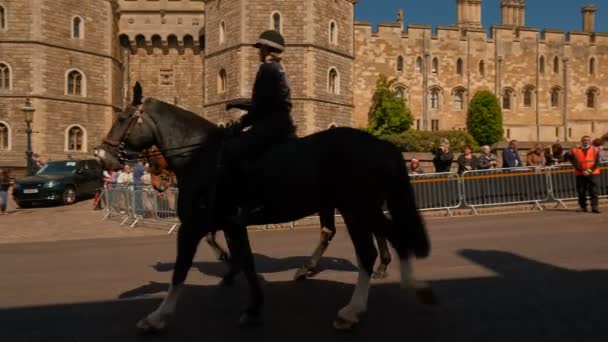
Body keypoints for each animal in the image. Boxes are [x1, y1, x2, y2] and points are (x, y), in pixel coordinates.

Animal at [94, 86, 432, 334]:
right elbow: (244, 260)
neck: (202, 154)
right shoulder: (229, 222)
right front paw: (251, 303)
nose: (103, 156)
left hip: (356, 208)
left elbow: (181, 270)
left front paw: (158, 316)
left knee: (371, 248)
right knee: (383, 237)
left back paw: (356, 305)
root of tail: (382, 144)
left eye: (124, 117)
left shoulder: (194, 224)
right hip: (356, 208)